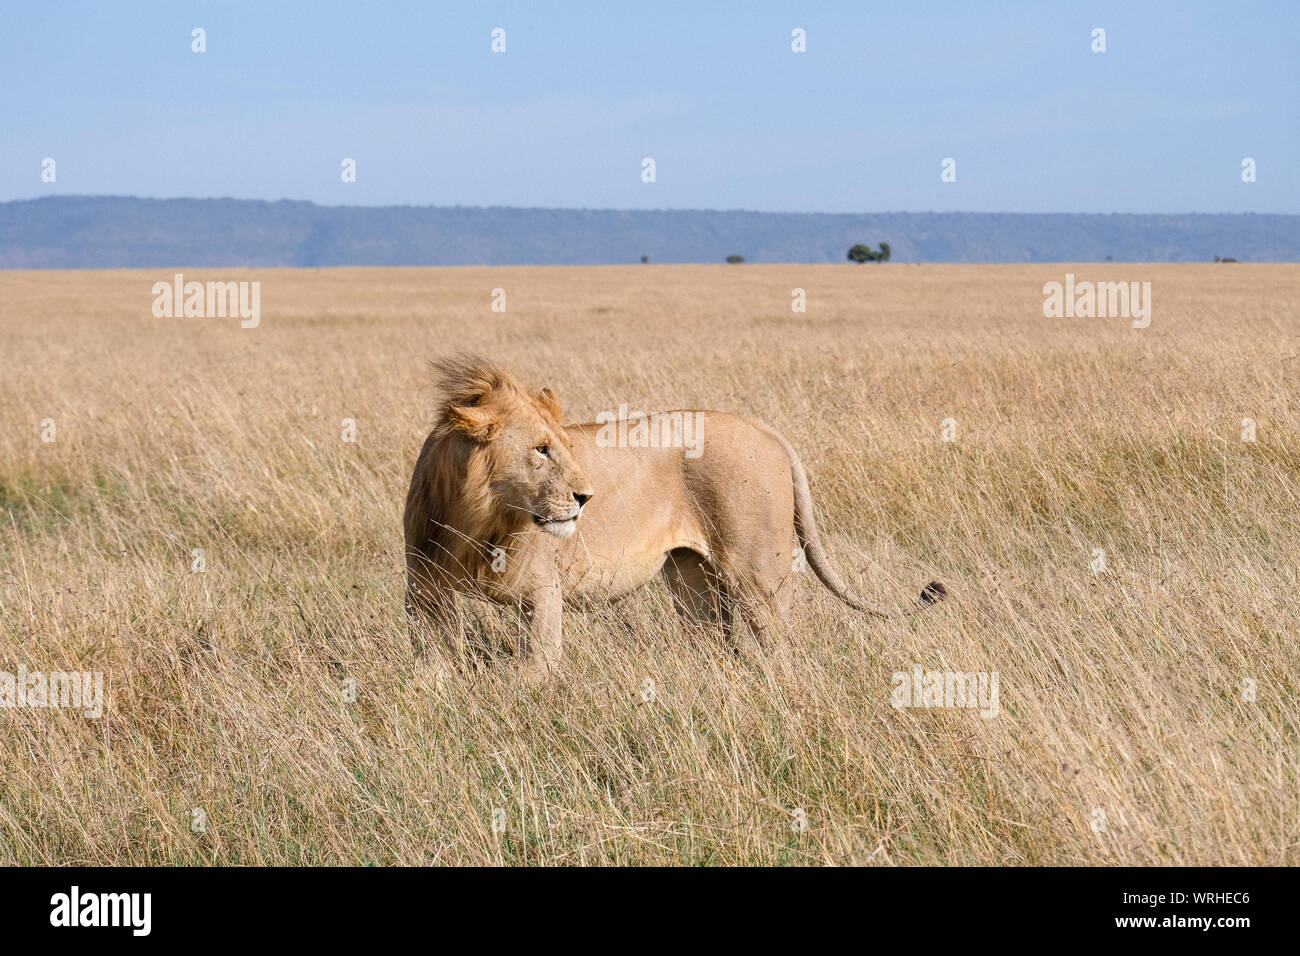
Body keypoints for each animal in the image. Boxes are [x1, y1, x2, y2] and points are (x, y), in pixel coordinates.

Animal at [404, 356, 945, 682]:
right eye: (541, 450)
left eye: (563, 446)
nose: (585, 497)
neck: (474, 520)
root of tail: (766, 429)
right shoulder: (423, 590)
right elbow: (430, 660)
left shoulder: (543, 590)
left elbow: (536, 667)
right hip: (692, 577)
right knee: (716, 641)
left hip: (757, 572)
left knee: (783, 644)